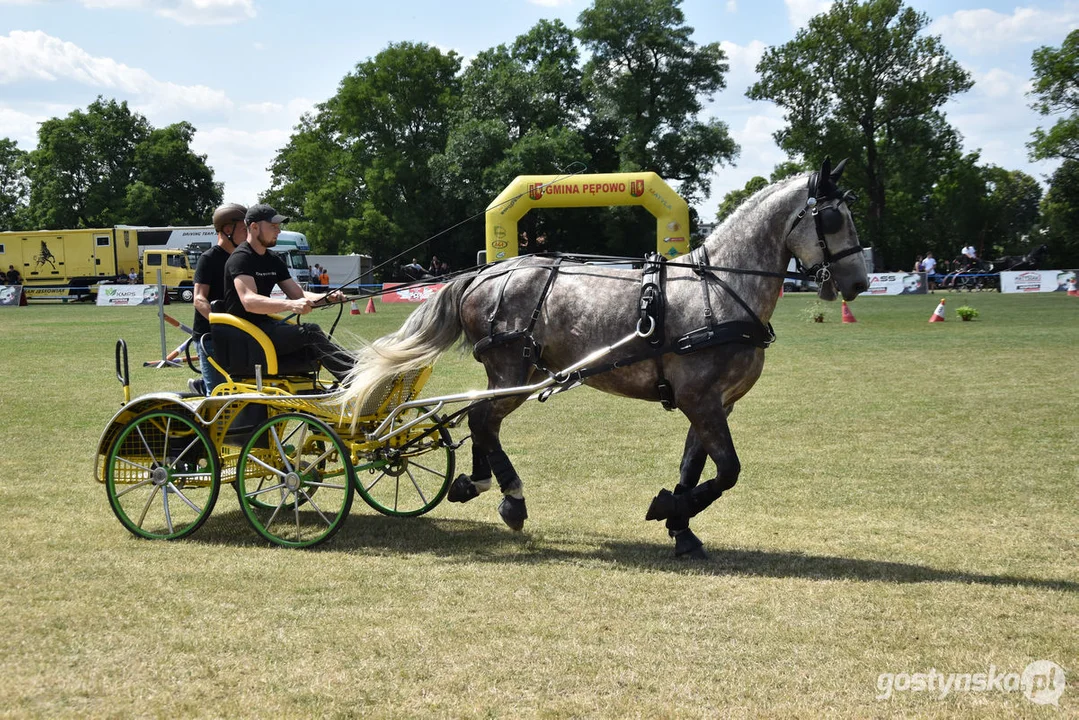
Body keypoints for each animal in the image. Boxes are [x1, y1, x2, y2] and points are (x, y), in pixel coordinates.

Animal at [340, 158, 871, 557]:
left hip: (515, 372)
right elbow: (727, 471)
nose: (859, 282)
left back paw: (479, 483)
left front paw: (680, 527)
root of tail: (485, 273)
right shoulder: (701, 399)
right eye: (833, 219)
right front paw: (670, 512)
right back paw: (510, 496)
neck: (720, 289)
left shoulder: (714, 403)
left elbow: (692, 468)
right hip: (511, 368)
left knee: (479, 416)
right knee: (482, 418)